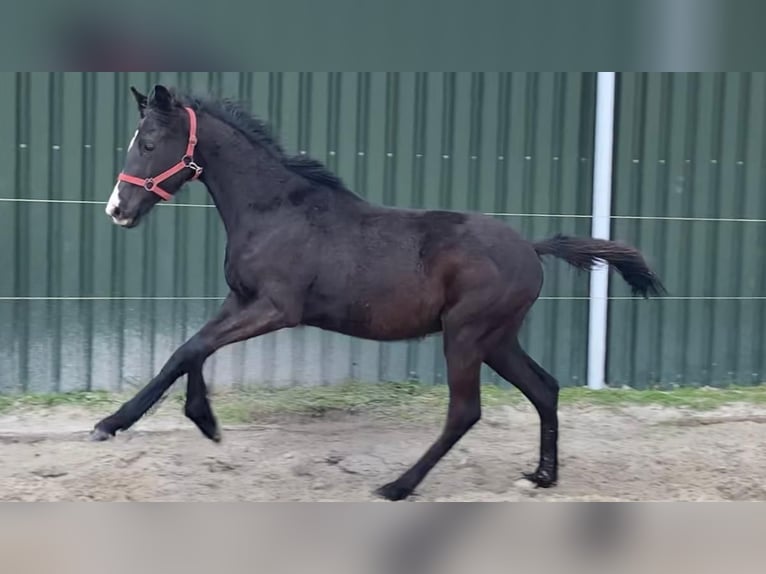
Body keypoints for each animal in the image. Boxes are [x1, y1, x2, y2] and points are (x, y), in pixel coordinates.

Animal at [91, 85, 664, 504]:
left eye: (148, 143)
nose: (117, 209)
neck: (275, 211)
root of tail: (533, 248)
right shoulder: (240, 301)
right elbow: (187, 351)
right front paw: (139, 422)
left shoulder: (276, 309)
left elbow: (193, 348)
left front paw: (186, 422)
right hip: (498, 339)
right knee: (544, 388)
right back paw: (542, 476)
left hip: (466, 336)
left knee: (466, 411)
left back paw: (397, 486)